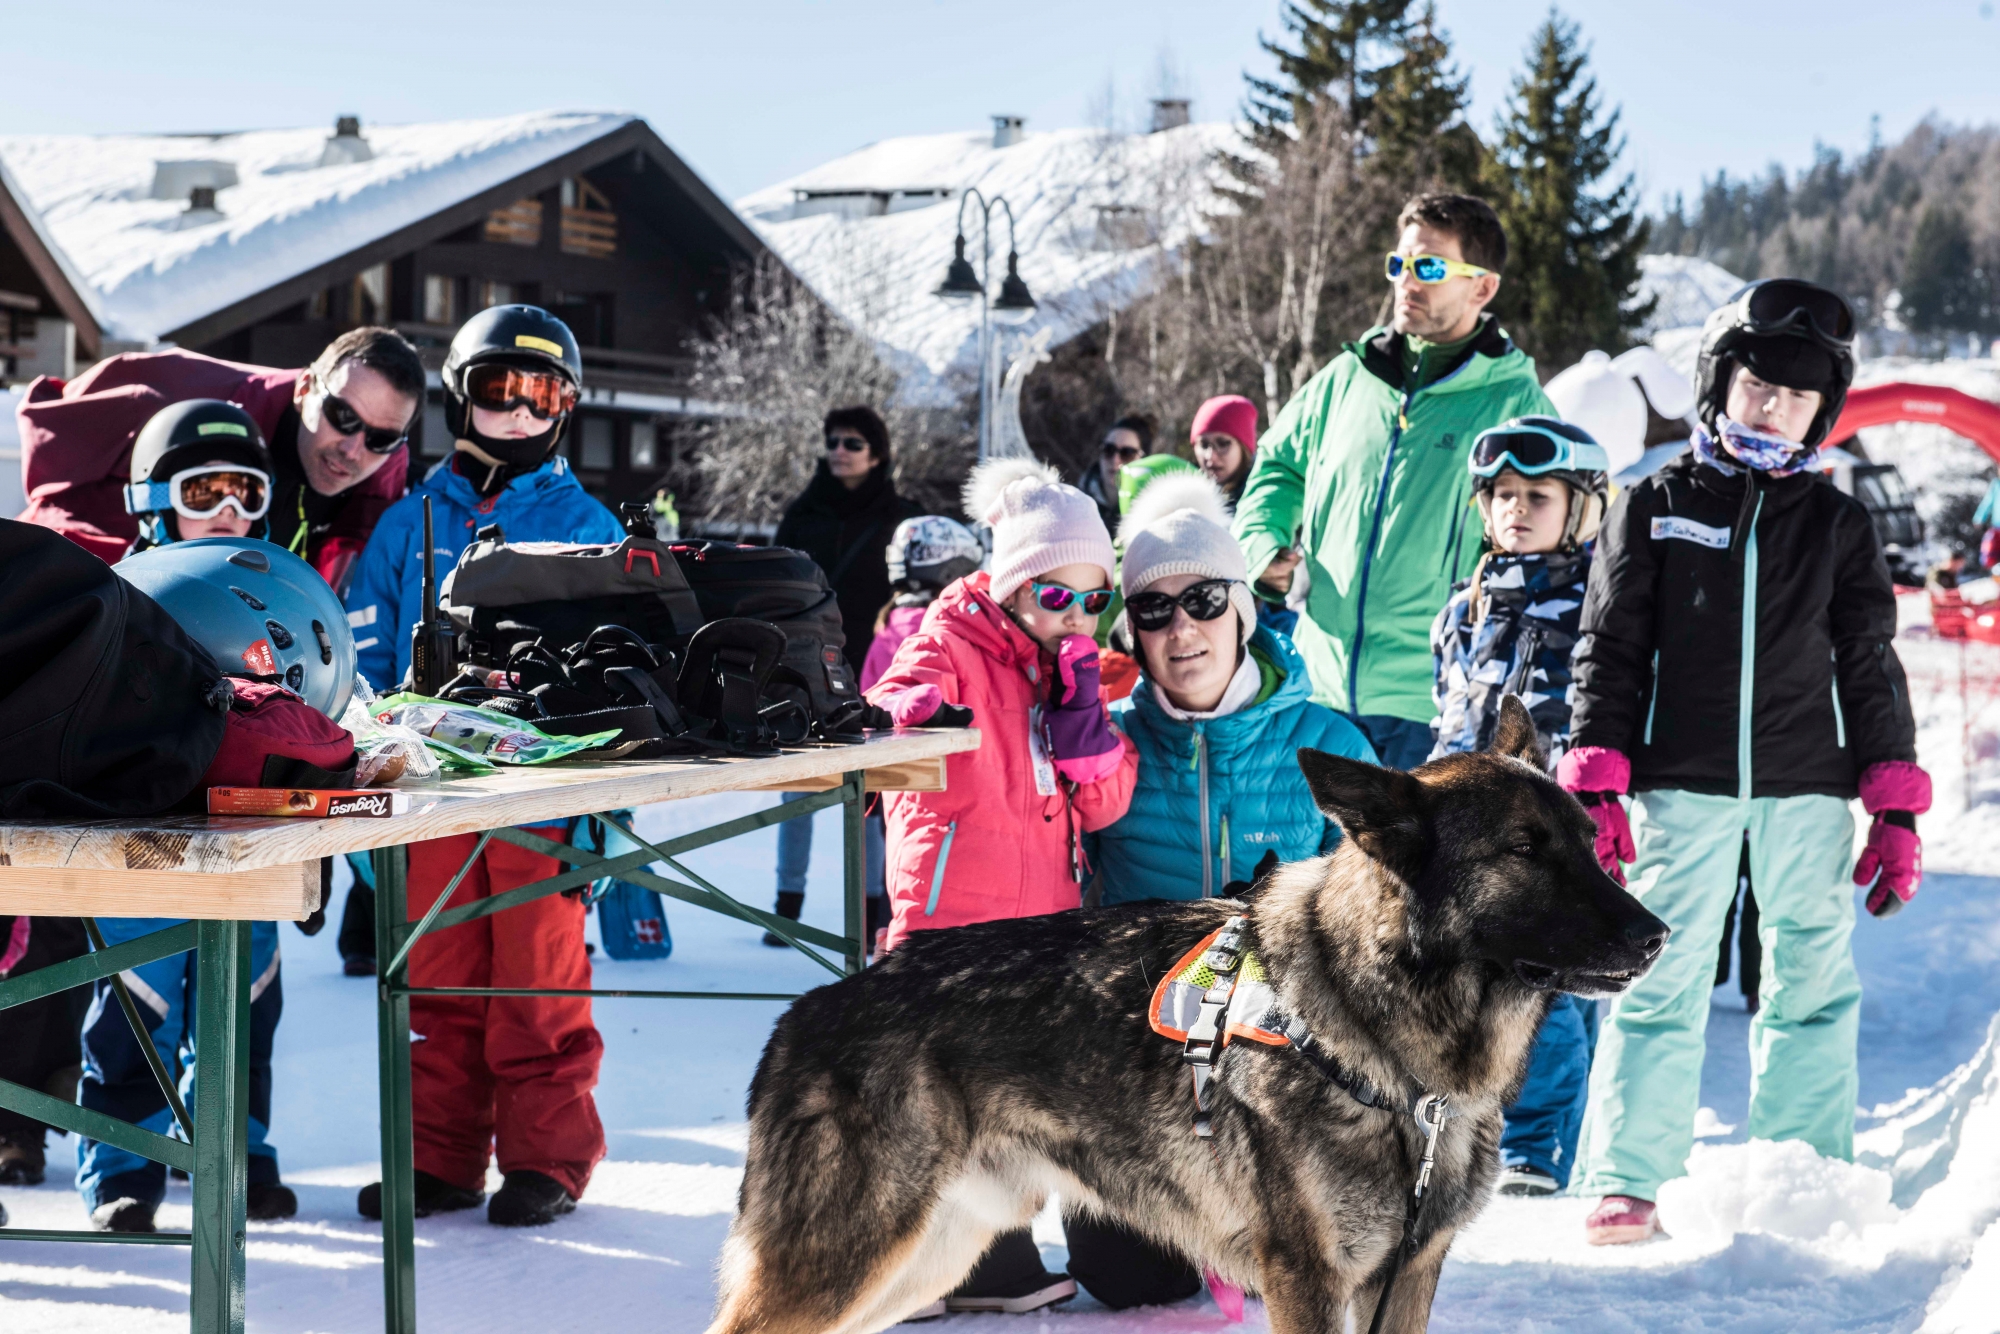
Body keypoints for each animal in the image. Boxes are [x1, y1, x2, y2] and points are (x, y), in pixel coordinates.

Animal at [712, 700, 1664, 1334]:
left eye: (1589, 841)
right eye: (1523, 851)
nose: (1656, 936)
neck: (1395, 1057)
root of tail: (810, 1008)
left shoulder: (1407, 1277)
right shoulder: (1309, 1279)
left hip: (920, 1259)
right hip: (849, 1261)